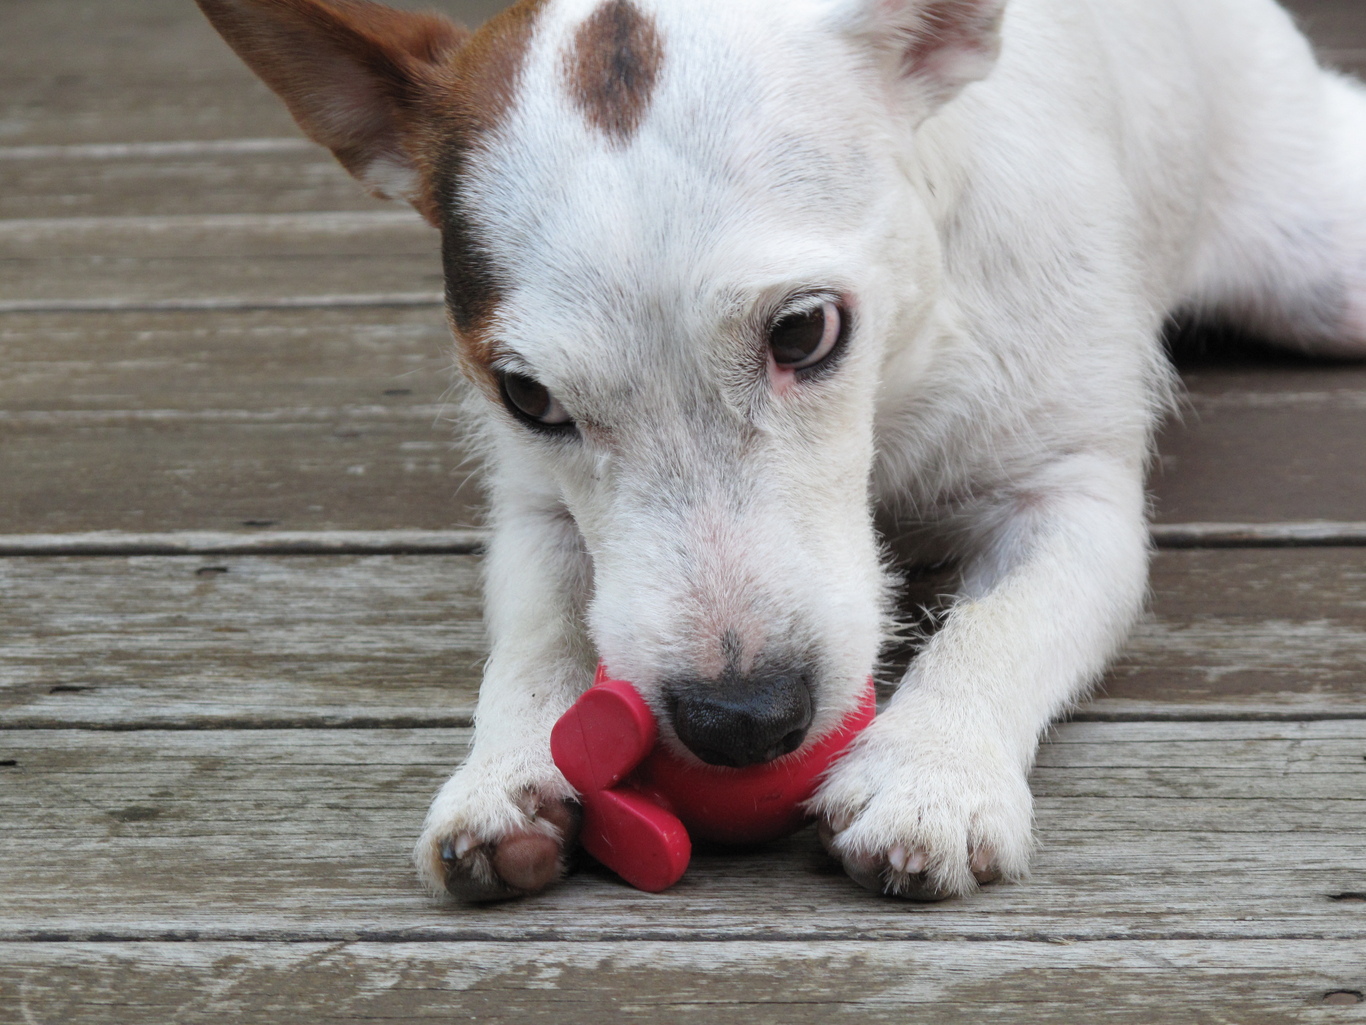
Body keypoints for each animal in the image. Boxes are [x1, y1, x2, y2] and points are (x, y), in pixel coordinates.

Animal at [195, 0, 1366, 901]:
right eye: (528, 396)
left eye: (805, 330)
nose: (740, 719)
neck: (898, 374)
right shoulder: (534, 505)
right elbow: (538, 636)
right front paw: (508, 767)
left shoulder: (1066, 497)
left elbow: (1005, 621)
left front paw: (930, 770)